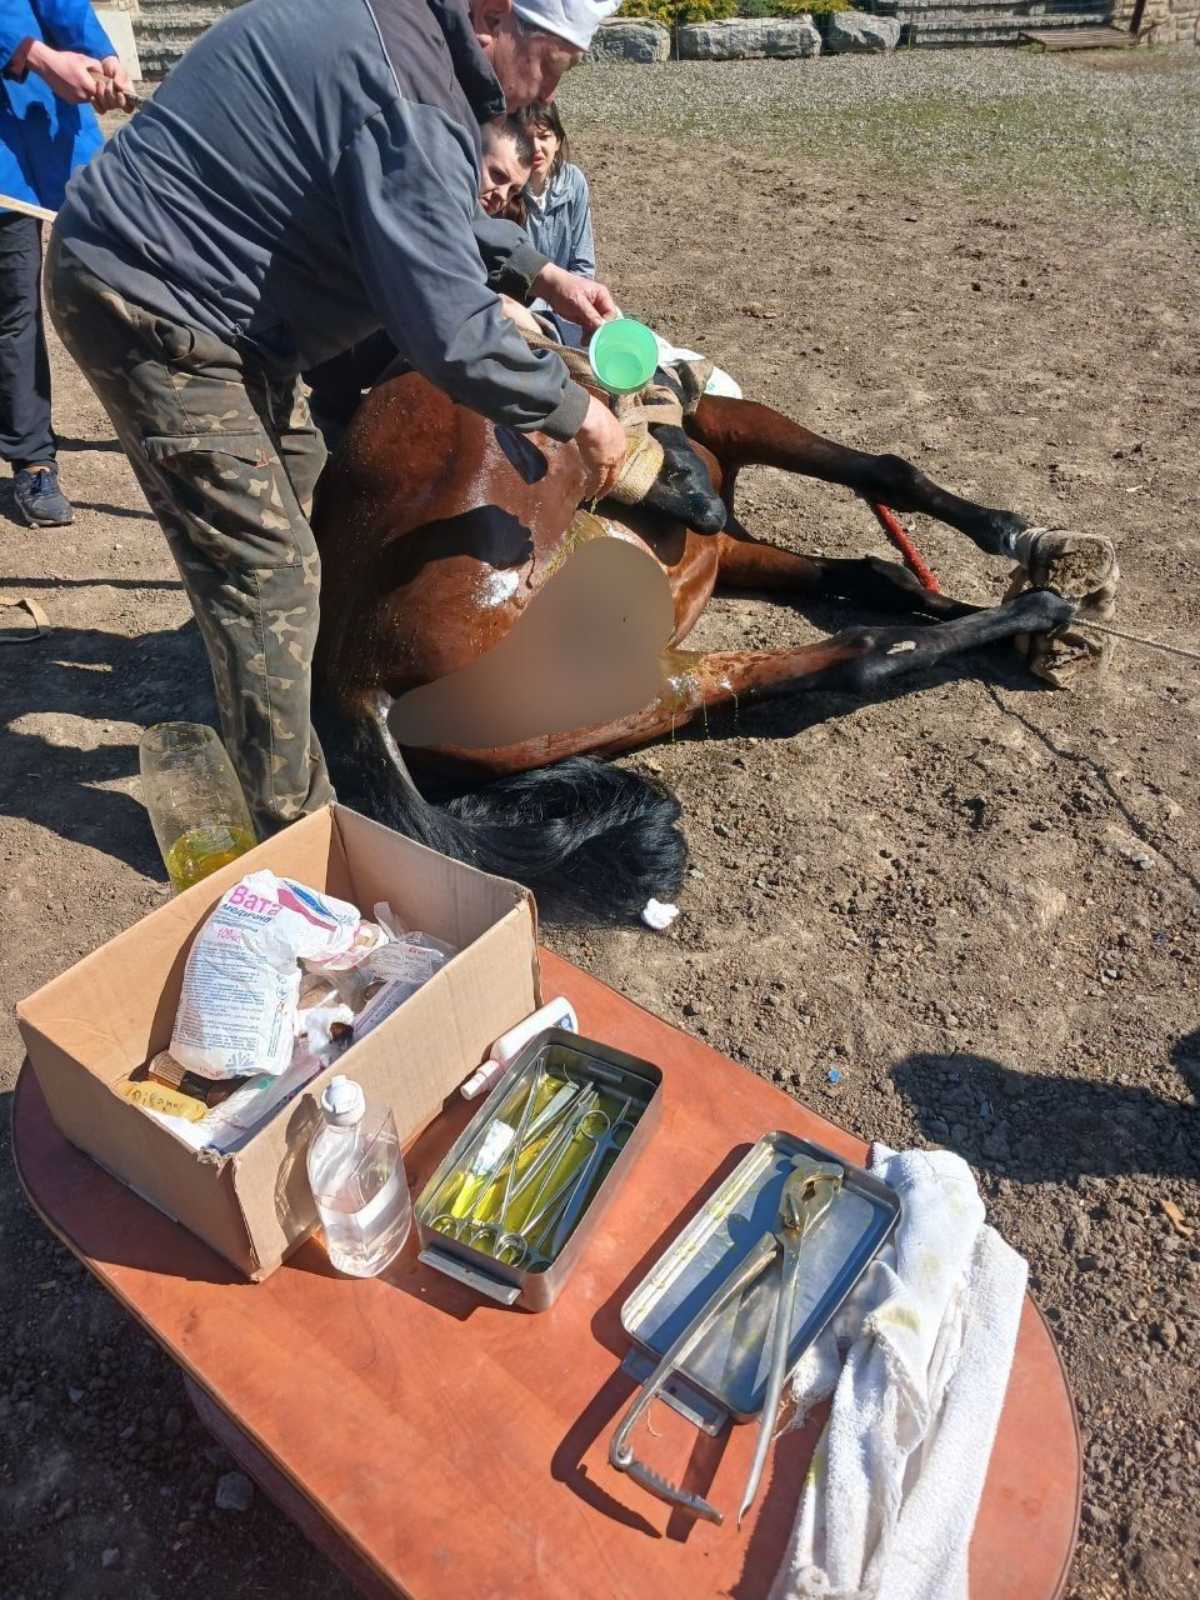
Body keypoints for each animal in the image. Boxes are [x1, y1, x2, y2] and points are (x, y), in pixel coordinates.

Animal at [310, 362, 1117, 918]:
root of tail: (356, 685)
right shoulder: (733, 422)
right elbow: (886, 472)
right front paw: (1016, 538)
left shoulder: (726, 547)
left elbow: (877, 573)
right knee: (861, 657)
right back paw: (1041, 608)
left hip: (644, 690)